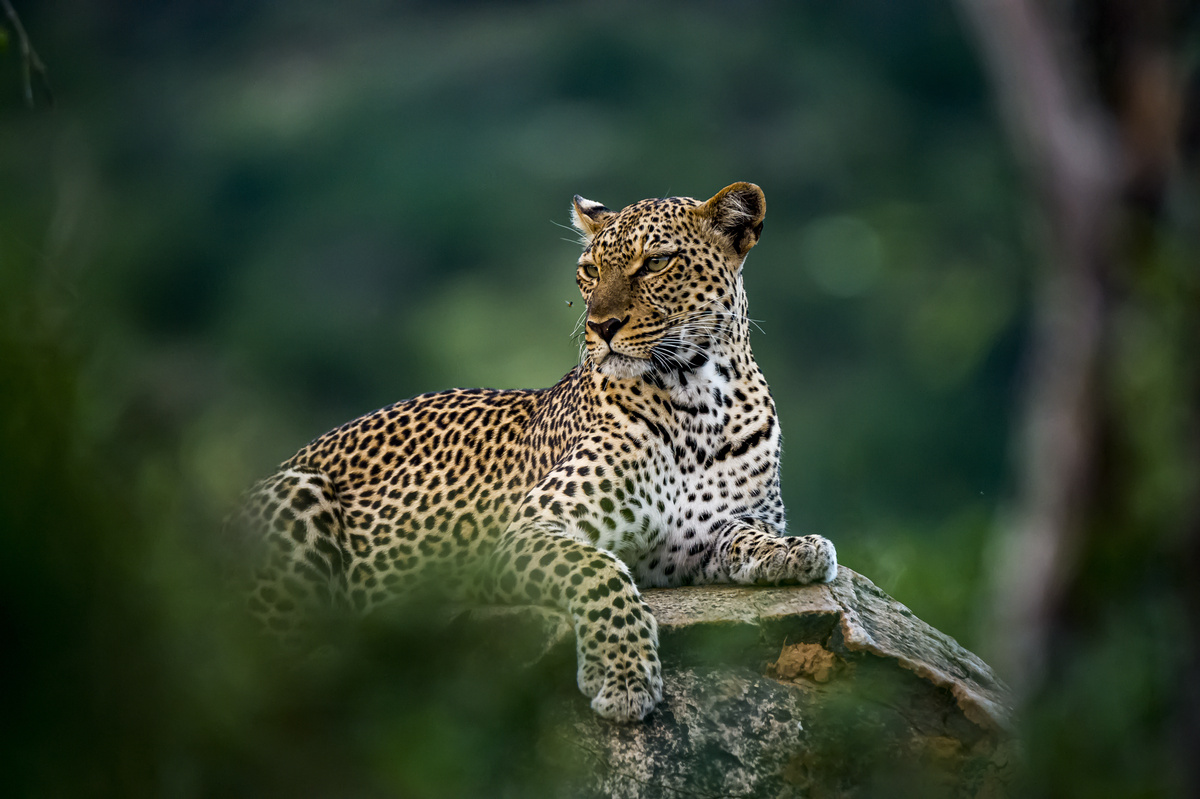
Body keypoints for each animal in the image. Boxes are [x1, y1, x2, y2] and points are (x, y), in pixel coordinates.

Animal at [234, 183, 835, 719]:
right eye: (589, 271)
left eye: (656, 263)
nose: (601, 327)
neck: (700, 400)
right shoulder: (531, 530)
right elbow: (601, 572)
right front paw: (624, 676)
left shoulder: (697, 541)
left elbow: (746, 537)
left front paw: (798, 550)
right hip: (299, 490)